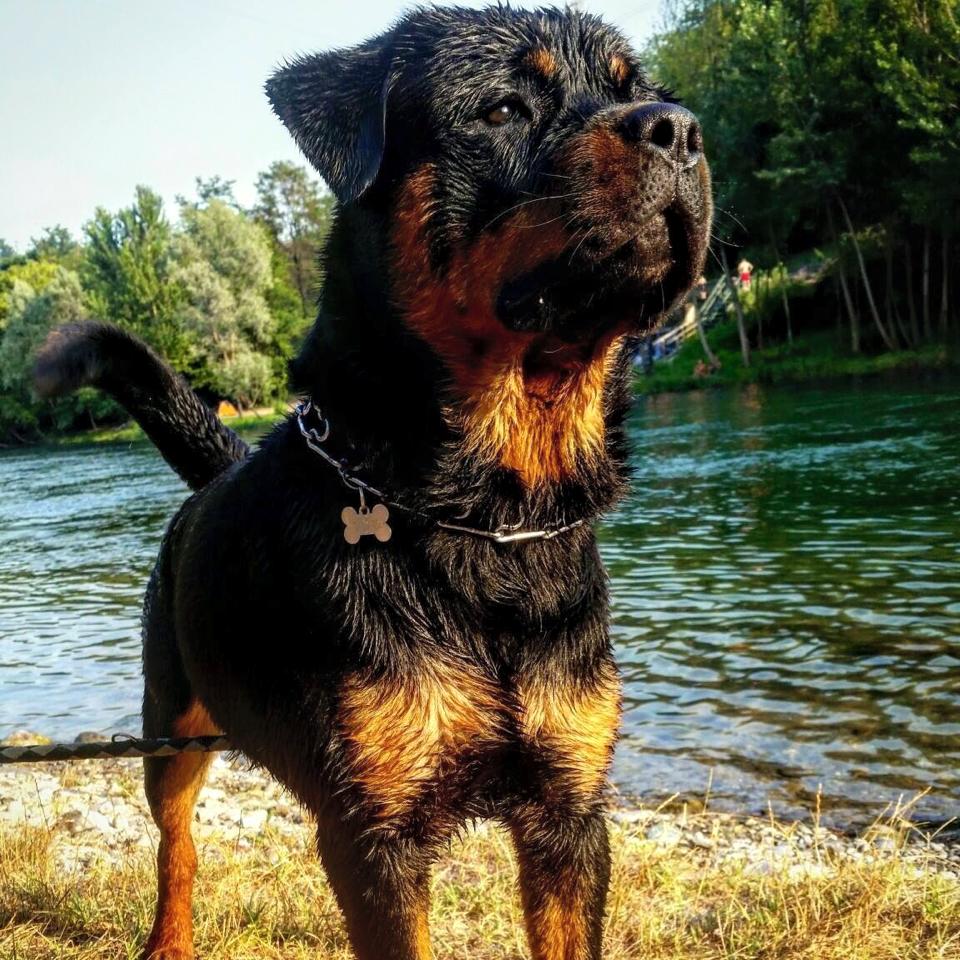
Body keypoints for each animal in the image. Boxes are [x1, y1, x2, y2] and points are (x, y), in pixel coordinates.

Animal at [37, 3, 708, 956]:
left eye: (638, 90)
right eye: (503, 110)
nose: (677, 128)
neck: (491, 516)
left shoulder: (570, 814)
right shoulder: (375, 837)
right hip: (168, 721)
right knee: (176, 844)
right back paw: (168, 937)